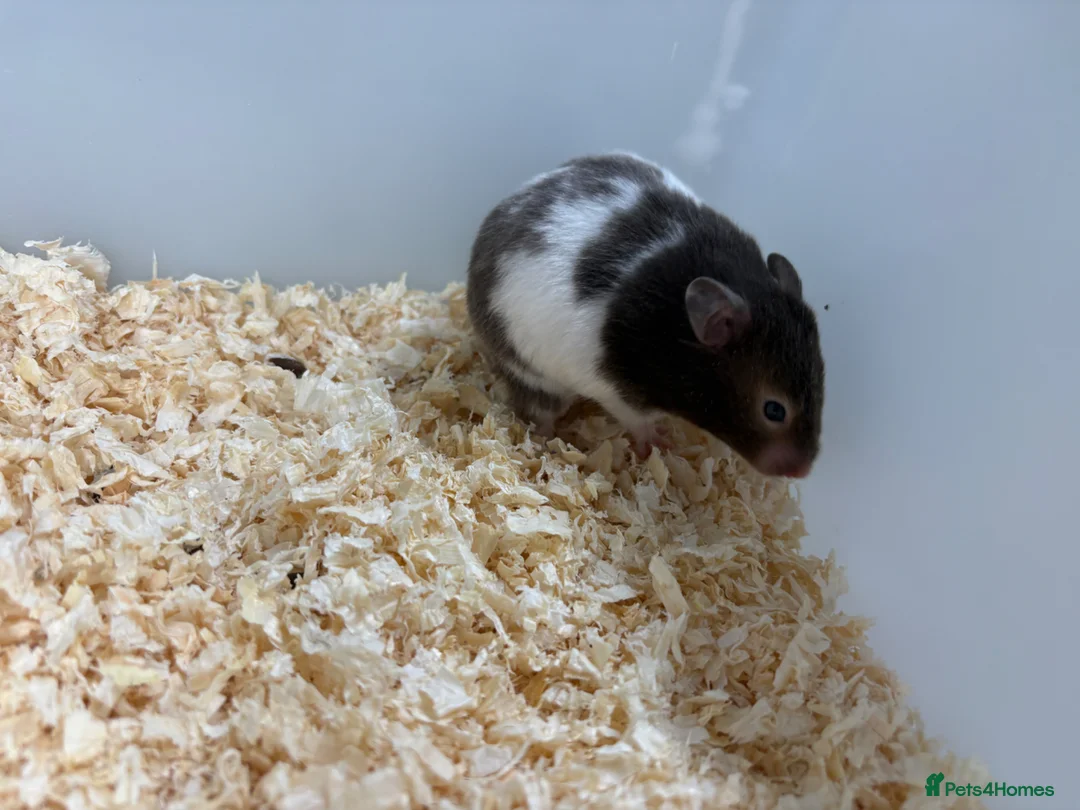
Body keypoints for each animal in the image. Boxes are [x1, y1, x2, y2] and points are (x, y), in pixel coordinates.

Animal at [465, 151, 825, 479]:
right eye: (774, 410)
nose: (804, 471)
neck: (674, 328)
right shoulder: (615, 388)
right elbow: (636, 420)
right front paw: (660, 443)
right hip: (532, 372)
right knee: (540, 411)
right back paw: (545, 442)